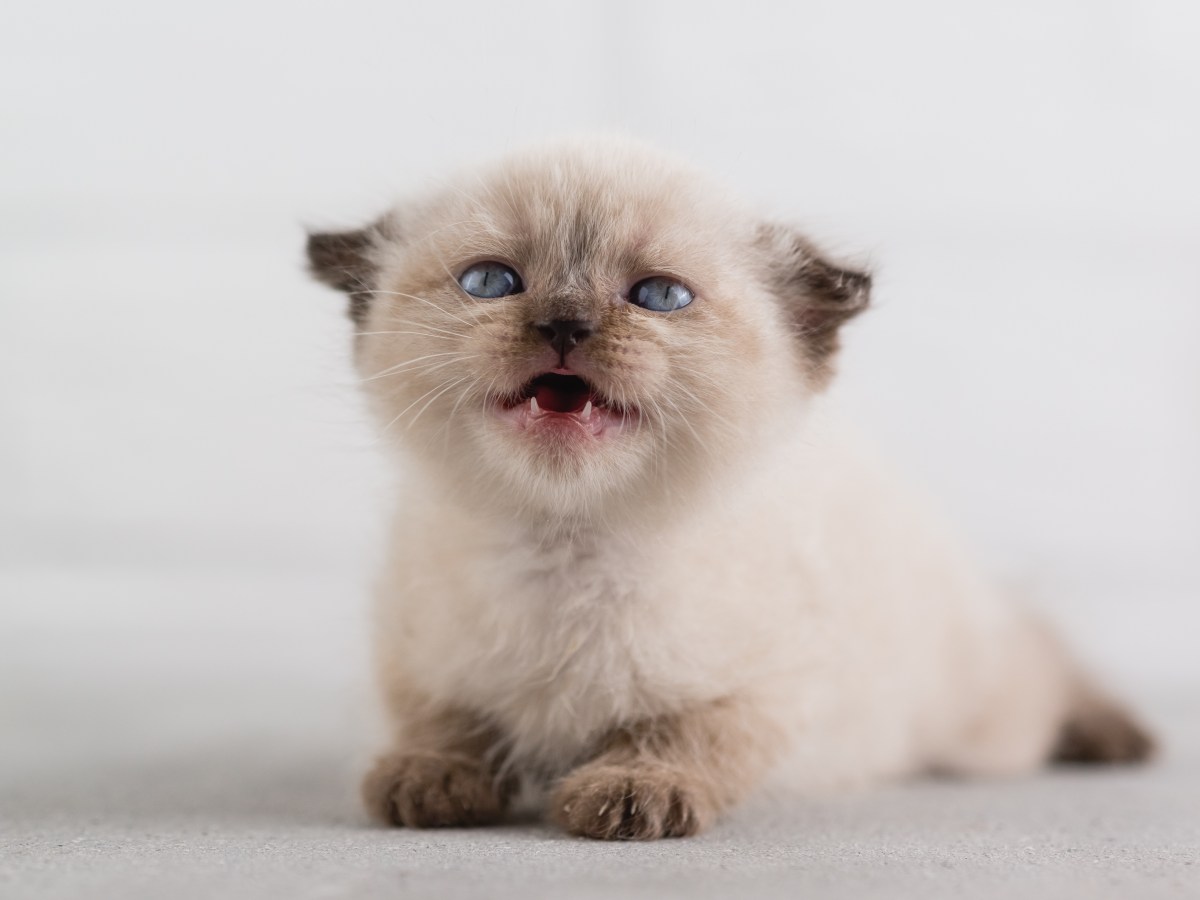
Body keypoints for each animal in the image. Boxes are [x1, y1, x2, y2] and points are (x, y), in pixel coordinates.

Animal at [307, 137, 1152, 844]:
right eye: (491, 282)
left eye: (658, 297)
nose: (565, 324)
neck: (565, 542)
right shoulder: (416, 656)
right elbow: (442, 721)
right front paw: (429, 777)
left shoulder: (768, 684)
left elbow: (689, 733)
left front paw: (634, 789)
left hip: (983, 720)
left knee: (1044, 657)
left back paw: (1113, 733)